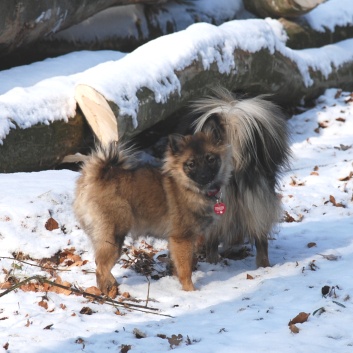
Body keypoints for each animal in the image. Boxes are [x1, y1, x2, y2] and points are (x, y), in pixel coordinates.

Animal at [73, 128, 231, 292]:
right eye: (191, 164)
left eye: (210, 159)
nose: (204, 176)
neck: (189, 187)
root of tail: (96, 177)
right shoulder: (182, 239)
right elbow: (186, 269)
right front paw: (190, 291)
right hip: (113, 235)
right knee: (101, 267)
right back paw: (109, 290)